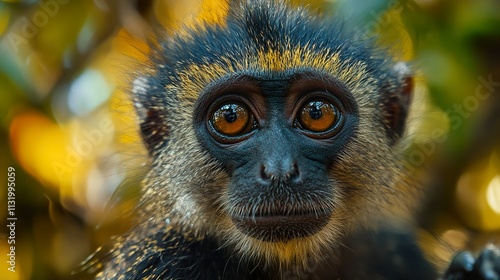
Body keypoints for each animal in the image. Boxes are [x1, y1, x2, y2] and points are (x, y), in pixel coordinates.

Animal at [82, 0, 500, 278]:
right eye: (231, 117)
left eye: (316, 113)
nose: (280, 169)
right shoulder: (158, 260)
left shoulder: (388, 248)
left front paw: (478, 269)